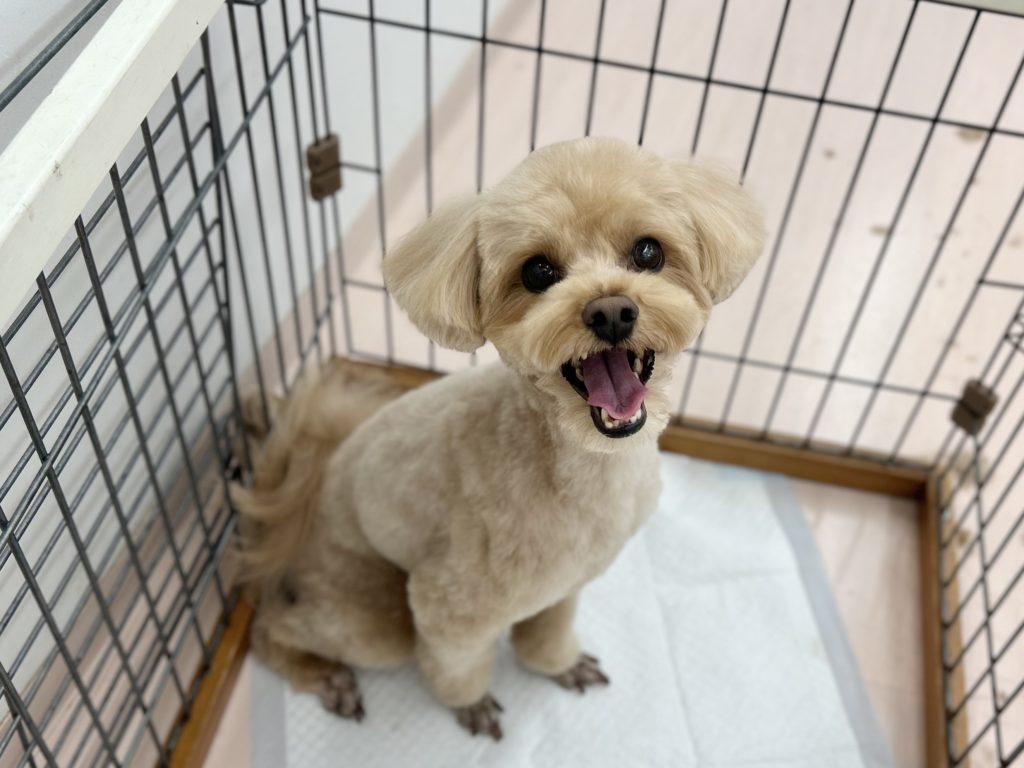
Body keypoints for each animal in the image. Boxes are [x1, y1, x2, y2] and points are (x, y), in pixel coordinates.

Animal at [232, 137, 764, 740]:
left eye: (648, 252)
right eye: (538, 271)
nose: (610, 311)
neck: (577, 465)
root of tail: (303, 499)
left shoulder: (565, 588)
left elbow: (544, 637)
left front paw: (560, 667)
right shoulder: (448, 604)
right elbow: (455, 663)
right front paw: (472, 705)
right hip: (372, 614)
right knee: (275, 627)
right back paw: (326, 676)